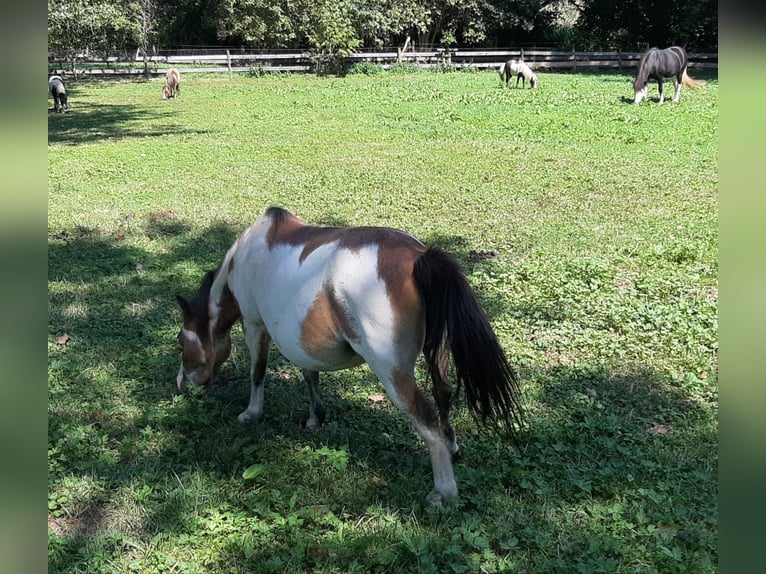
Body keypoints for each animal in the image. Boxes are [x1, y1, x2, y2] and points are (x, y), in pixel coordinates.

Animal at [176, 207, 524, 508]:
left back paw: (444, 492)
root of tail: (419, 258)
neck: (246, 255)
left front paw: (251, 413)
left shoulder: (253, 324)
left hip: (392, 371)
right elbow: (309, 373)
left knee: (425, 417)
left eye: (180, 340)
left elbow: (257, 372)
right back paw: (452, 448)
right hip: (434, 352)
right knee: (444, 394)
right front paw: (315, 417)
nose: (181, 383)